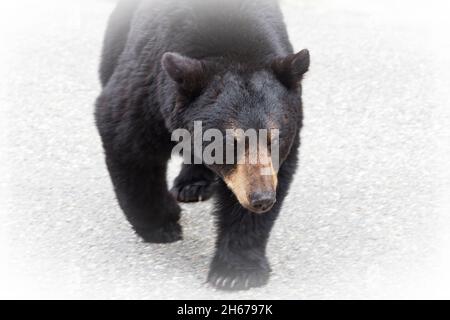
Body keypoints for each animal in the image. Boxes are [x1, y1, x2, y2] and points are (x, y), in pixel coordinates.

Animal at [96, 0, 310, 290]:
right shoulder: (148, 84)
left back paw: (193, 183)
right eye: (230, 142)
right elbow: (127, 143)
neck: (233, 49)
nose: (262, 198)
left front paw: (236, 271)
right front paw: (161, 224)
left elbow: (276, 173)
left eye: (274, 138)